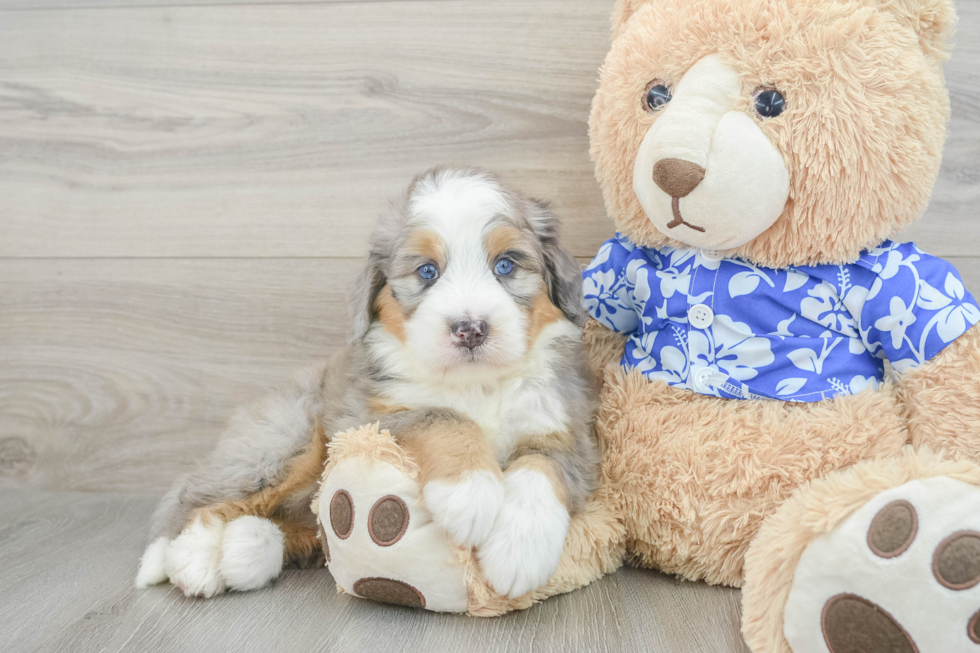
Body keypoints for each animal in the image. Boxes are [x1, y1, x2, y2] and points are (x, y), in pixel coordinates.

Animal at [136, 168, 596, 600]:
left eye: (505, 265)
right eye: (427, 271)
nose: (470, 329)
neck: (476, 385)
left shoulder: (564, 424)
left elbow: (542, 467)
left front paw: (519, 552)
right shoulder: (362, 419)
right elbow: (443, 417)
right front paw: (471, 493)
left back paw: (241, 549)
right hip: (283, 443)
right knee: (195, 495)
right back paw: (187, 557)